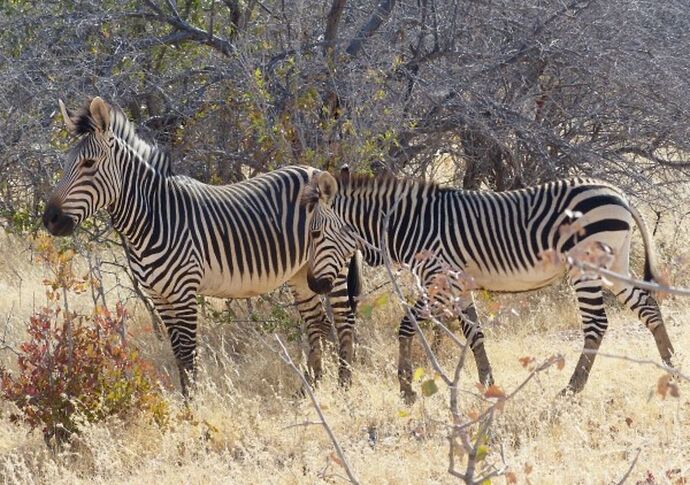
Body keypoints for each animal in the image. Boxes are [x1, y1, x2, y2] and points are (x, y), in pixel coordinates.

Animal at [41, 96, 360, 396]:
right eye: (65, 163)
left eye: (88, 165)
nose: (49, 219)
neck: (155, 217)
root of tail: (315, 169)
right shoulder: (159, 297)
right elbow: (177, 355)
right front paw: (186, 404)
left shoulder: (183, 293)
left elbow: (188, 353)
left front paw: (193, 406)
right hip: (301, 273)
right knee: (318, 323)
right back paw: (310, 388)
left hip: (334, 265)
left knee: (344, 322)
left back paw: (344, 387)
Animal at [300, 167, 672, 400]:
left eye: (315, 235)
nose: (314, 285)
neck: (410, 225)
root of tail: (618, 193)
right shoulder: (459, 285)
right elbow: (475, 334)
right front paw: (488, 384)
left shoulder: (441, 280)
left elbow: (407, 325)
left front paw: (405, 388)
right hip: (614, 265)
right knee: (647, 307)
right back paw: (671, 367)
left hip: (587, 267)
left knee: (597, 324)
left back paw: (572, 388)